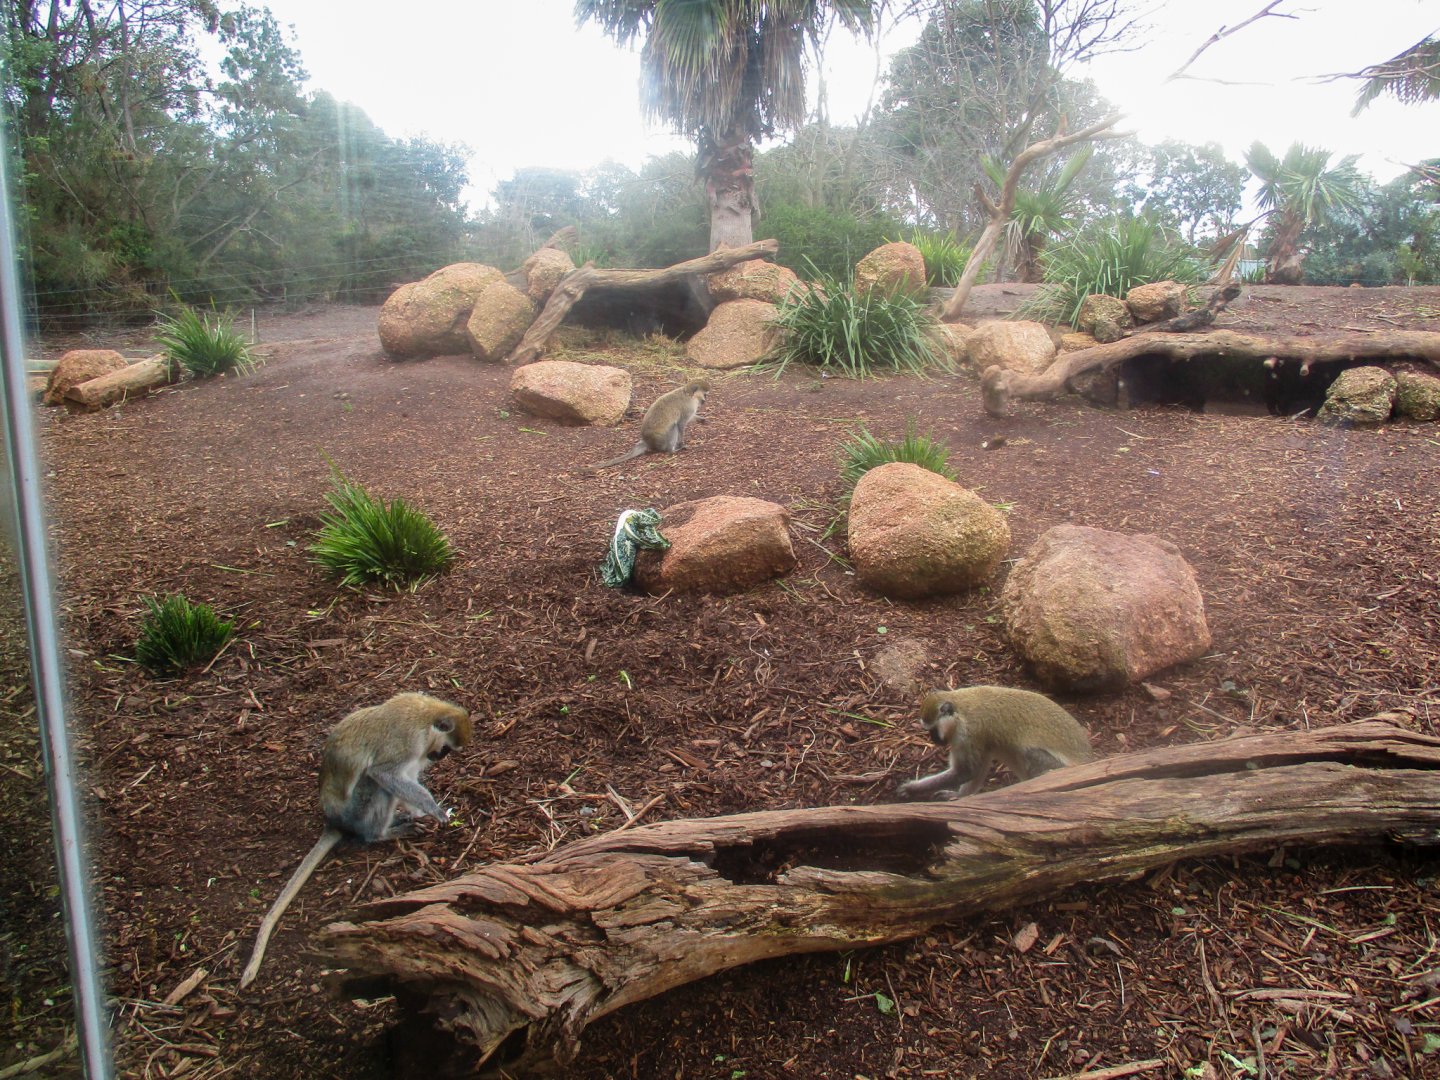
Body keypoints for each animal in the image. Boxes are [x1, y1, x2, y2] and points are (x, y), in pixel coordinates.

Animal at [238, 692, 471, 988]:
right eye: (444, 750)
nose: (435, 758)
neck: (426, 714)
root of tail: (333, 820)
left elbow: (407, 778)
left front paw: (420, 812)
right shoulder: (407, 742)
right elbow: (386, 775)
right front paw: (434, 810)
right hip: (356, 811)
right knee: (374, 783)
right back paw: (382, 833)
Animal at [895, 686, 1093, 801]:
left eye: (933, 730)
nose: (933, 739)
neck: (962, 707)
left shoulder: (969, 735)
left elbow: (966, 772)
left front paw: (913, 789)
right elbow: (977, 770)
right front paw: (960, 795)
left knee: (1029, 753)